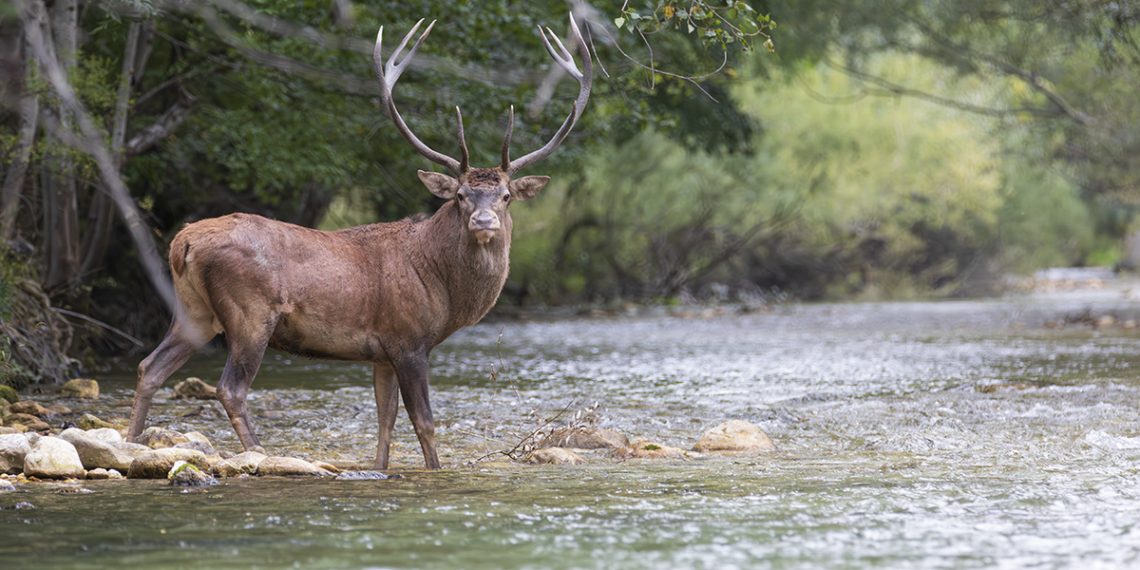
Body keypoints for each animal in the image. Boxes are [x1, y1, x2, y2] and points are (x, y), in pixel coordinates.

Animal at [126, 14, 592, 470]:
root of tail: (182, 242)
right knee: (230, 388)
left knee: (149, 366)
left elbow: (385, 420)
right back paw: (260, 453)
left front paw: (381, 468)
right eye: (460, 195)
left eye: (506, 195)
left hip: (195, 310)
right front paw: (435, 469)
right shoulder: (408, 340)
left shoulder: (381, 353)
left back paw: (132, 443)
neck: (443, 288)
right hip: (249, 313)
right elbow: (424, 423)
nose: (483, 220)